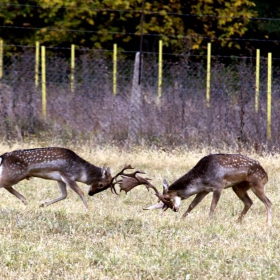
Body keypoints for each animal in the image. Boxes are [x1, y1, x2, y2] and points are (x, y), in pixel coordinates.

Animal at [117, 154, 272, 224]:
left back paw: (268, 223)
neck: (202, 178)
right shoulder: (204, 190)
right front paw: (182, 218)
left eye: (166, 198)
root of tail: (266, 174)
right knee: (249, 202)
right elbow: (192, 205)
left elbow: (212, 206)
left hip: (257, 183)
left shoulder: (218, 186)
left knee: (268, 202)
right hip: (238, 187)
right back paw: (237, 221)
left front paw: (209, 221)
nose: (174, 209)